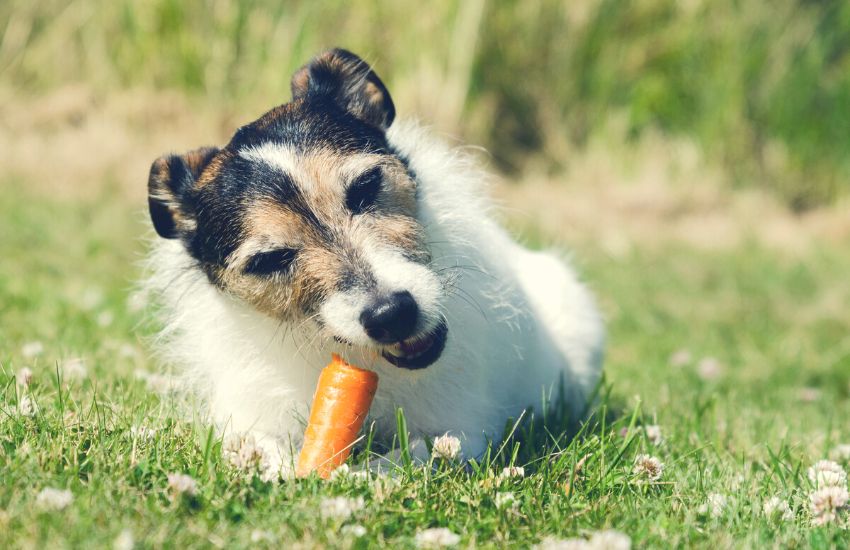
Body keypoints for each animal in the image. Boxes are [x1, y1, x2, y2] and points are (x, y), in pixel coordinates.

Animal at [144, 49, 604, 480]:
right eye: (270, 259)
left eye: (365, 186)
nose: (392, 314)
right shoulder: (249, 417)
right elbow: (255, 445)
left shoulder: (464, 429)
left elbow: (416, 454)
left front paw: (362, 475)